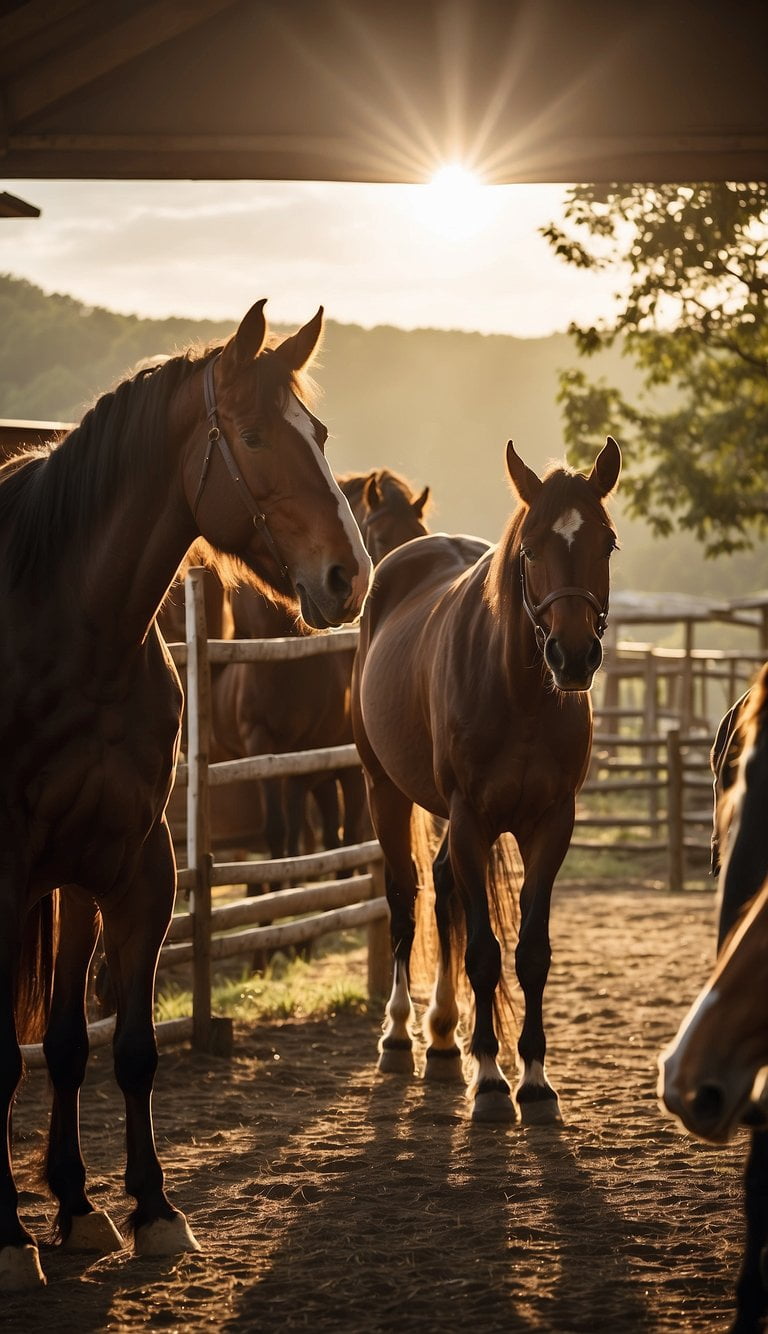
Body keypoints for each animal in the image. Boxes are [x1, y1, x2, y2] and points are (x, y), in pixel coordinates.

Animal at [0, 305, 373, 1291]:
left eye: (319, 434)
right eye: (255, 437)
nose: (349, 577)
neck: (69, 630)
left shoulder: (133, 866)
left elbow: (119, 1047)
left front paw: (145, 1210)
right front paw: (11, 1239)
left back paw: (76, 1202)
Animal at [352, 440, 621, 1125]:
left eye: (606, 542)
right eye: (530, 547)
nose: (573, 656)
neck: (519, 694)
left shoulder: (551, 824)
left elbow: (531, 953)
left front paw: (535, 1079)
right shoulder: (472, 817)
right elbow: (482, 951)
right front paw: (494, 1081)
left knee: (444, 887)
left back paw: (447, 1041)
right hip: (384, 790)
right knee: (406, 898)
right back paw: (401, 1038)